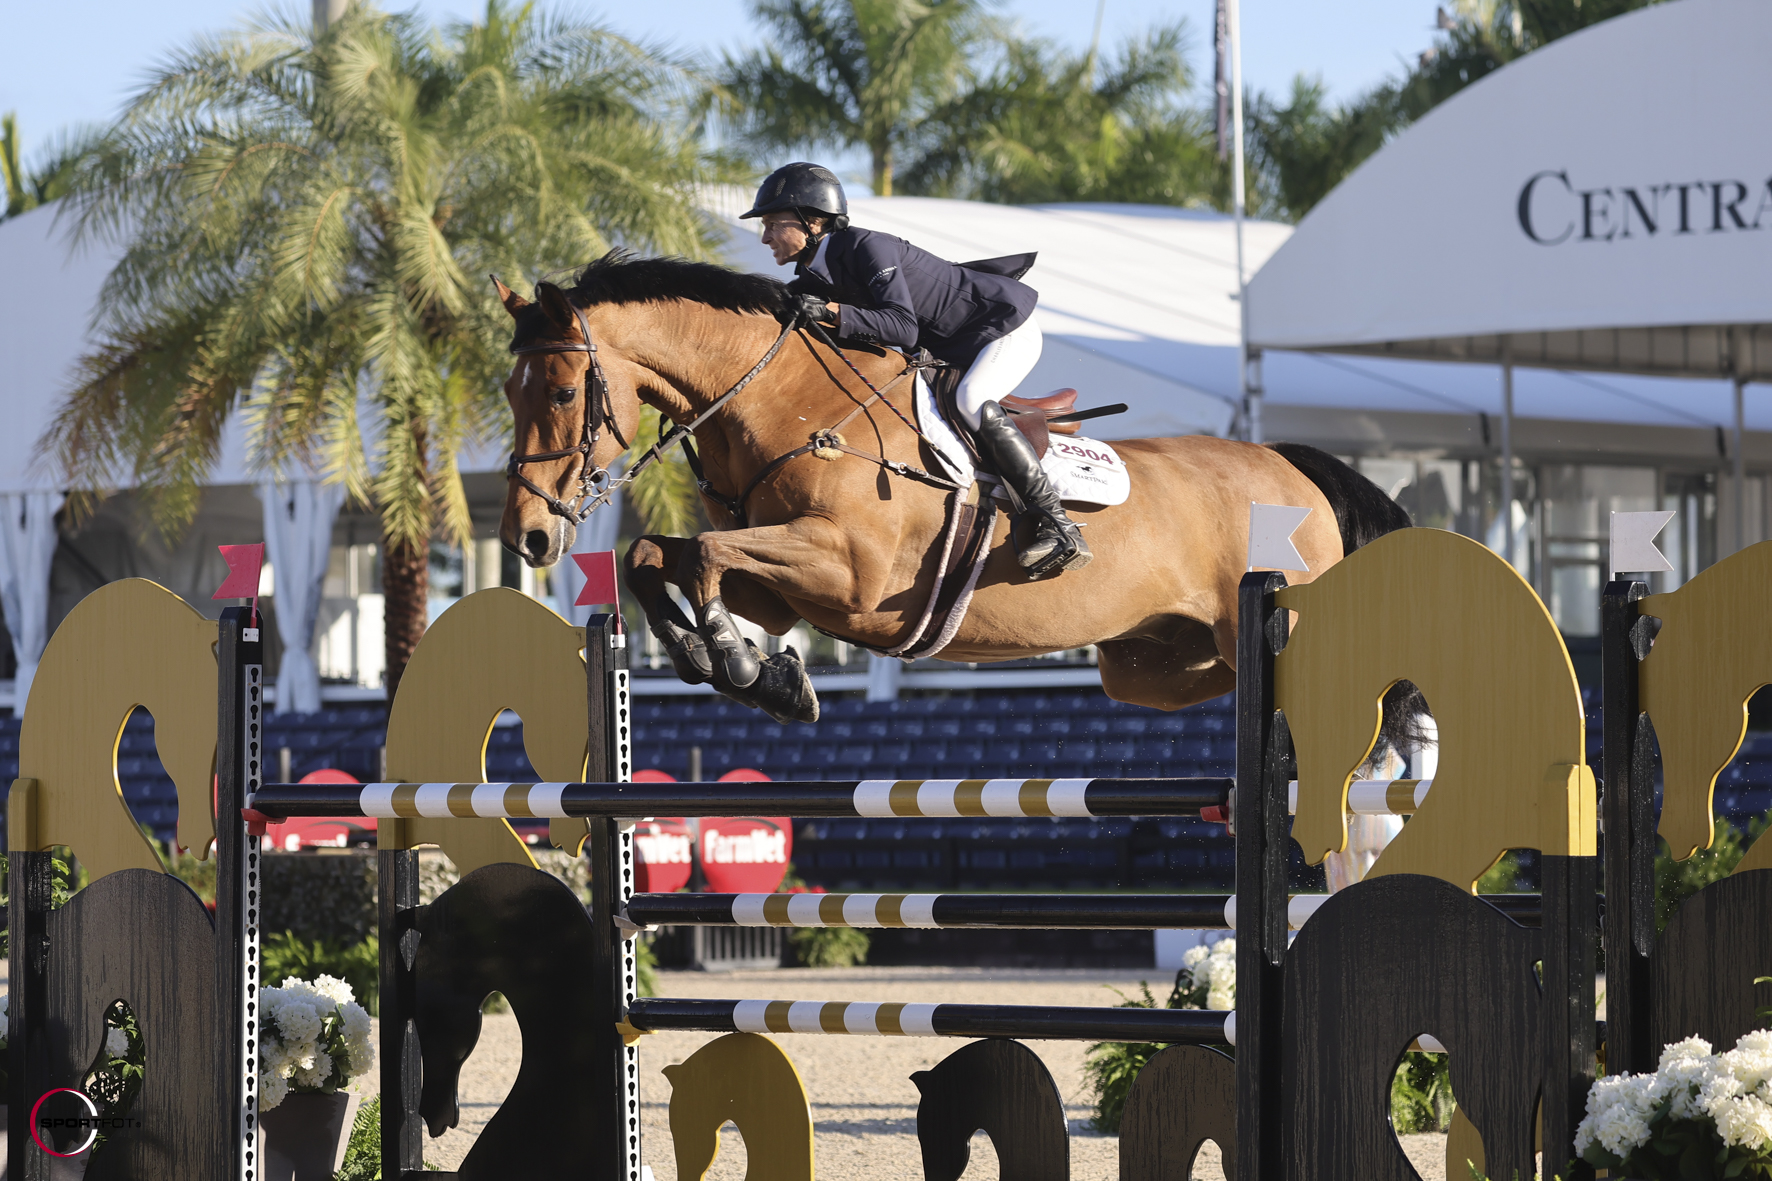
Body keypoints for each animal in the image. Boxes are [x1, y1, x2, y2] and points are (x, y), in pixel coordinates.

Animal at [499, 253, 1410, 723]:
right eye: (510, 390)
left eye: (562, 392)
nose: (528, 538)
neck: (791, 401)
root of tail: (1296, 466)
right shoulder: (786, 588)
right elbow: (663, 555)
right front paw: (733, 665)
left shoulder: (848, 575)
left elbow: (705, 555)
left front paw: (741, 661)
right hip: (1152, 663)